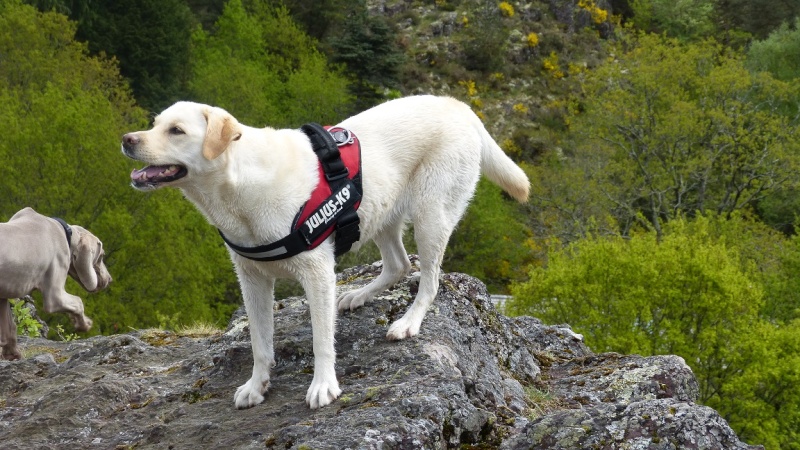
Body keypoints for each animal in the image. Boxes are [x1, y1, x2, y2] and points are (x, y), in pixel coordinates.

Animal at [0, 207, 112, 358]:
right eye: (101, 256)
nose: (110, 279)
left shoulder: (2, 295)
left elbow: (9, 329)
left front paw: (13, 355)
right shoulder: (55, 297)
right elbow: (78, 302)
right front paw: (84, 324)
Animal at [120, 94, 532, 408]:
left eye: (176, 131)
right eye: (155, 124)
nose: (126, 139)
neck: (239, 186)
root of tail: (457, 105)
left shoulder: (316, 274)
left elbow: (321, 340)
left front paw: (323, 386)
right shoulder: (252, 280)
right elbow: (259, 343)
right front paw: (257, 385)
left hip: (431, 214)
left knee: (429, 278)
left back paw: (408, 322)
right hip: (378, 212)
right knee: (398, 265)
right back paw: (357, 295)